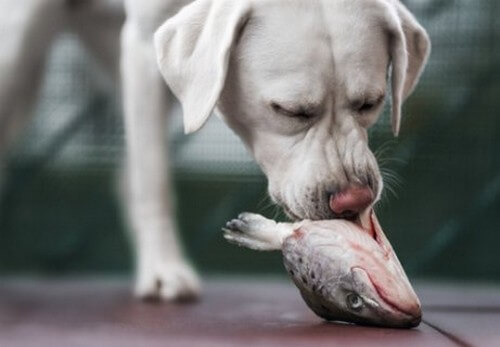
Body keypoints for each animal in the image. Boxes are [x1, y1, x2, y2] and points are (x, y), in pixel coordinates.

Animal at [0, 0, 430, 302]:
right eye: (289, 110)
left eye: (371, 103)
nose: (354, 199)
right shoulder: (142, 46)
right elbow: (153, 178)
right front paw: (164, 270)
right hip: (16, 55)